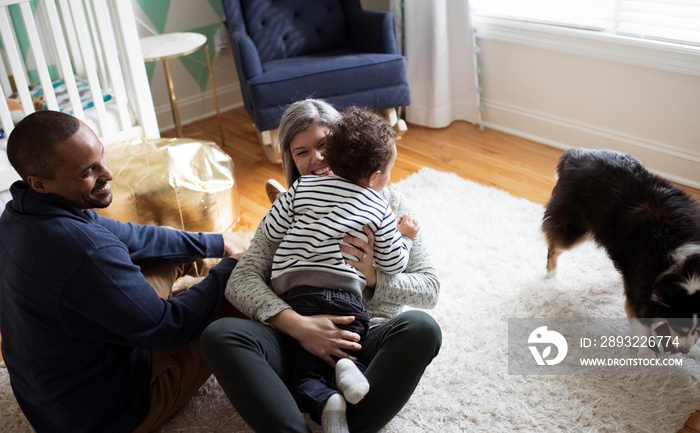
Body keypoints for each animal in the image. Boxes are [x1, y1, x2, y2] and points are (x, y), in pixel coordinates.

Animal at [540, 147, 700, 352]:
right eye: (680, 327)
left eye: (698, 328)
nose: (685, 350)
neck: (685, 265)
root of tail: (575, 154)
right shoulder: (640, 287)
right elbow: (642, 325)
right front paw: (646, 354)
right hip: (574, 227)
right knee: (553, 246)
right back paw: (551, 274)